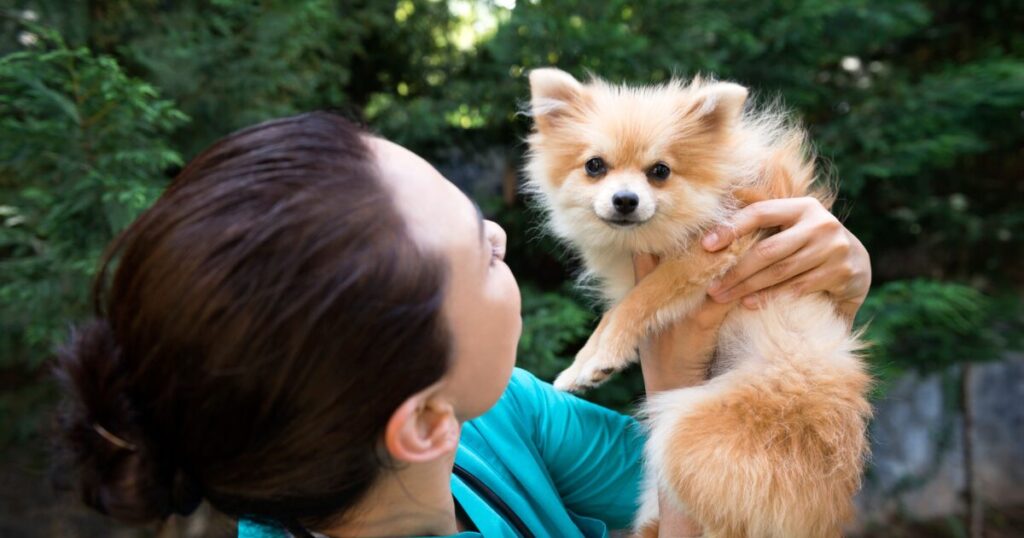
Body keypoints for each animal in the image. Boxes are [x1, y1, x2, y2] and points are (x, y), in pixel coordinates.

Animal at [528, 67, 872, 536]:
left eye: (660, 171)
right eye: (594, 166)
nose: (625, 200)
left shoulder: (719, 246)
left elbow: (635, 302)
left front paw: (593, 359)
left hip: (686, 431)